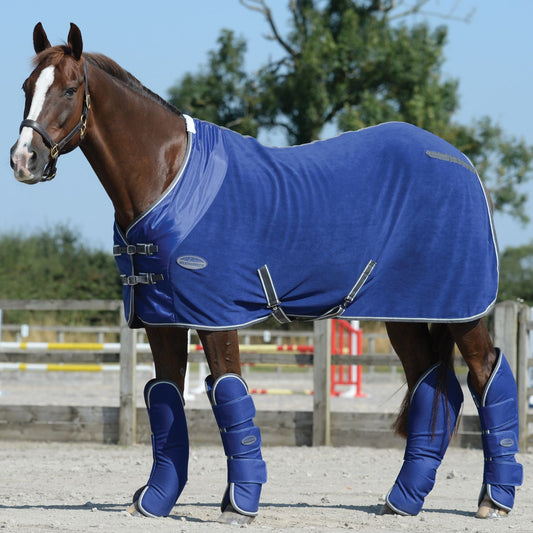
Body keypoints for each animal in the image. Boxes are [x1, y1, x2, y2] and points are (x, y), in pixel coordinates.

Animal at [10, 23, 522, 523]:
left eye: (70, 89)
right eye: (27, 87)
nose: (23, 160)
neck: (166, 176)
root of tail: (463, 165)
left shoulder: (216, 317)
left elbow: (230, 397)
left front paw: (240, 504)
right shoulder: (162, 318)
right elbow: (165, 401)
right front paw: (155, 502)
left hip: (462, 310)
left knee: (485, 374)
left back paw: (494, 499)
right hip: (406, 312)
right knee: (432, 384)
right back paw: (403, 500)